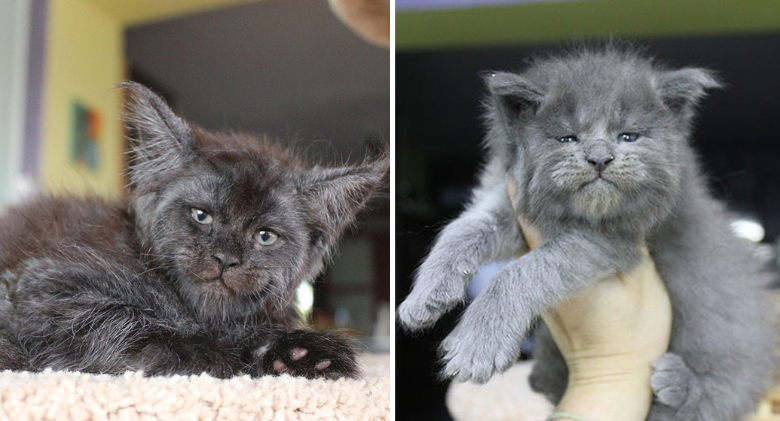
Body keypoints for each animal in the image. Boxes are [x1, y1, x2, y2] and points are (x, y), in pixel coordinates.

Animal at [0, 82, 388, 378]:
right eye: (202, 216)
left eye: (265, 236)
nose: (225, 259)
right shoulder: (47, 285)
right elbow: (126, 320)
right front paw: (211, 354)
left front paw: (300, 353)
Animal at [400, 47, 776, 418]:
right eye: (567, 137)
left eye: (628, 136)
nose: (600, 158)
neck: (580, 214)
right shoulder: (515, 207)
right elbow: (461, 230)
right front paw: (424, 296)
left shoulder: (614, 240)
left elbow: (522, 271)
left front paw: (477, 345)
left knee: (718, 395)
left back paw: (678, 383)